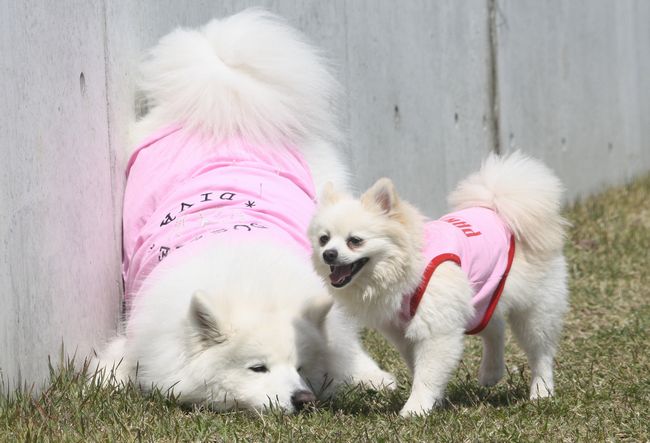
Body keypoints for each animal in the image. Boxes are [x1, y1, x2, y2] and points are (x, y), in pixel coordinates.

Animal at [92, 9, 393, 414]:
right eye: (257, 368)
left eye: (300, 366)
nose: (303, 398)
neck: (252, 279)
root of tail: (226, 107)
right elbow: (119, 363)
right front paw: (103, 380)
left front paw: (373, 378)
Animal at [309, 152, 569, 416]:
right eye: (324, 239)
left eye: (355, 241)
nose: (328, 254)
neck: (409, 266)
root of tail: (499, 209)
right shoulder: (403, 332)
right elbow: (418, 368)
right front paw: (435, 401)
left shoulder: (435, 329)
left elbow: (427, 373)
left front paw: (415, 409)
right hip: (480, 296)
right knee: (495, 326)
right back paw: (491, 373)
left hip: (534, 309)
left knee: (540, 351)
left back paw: (541, 391)